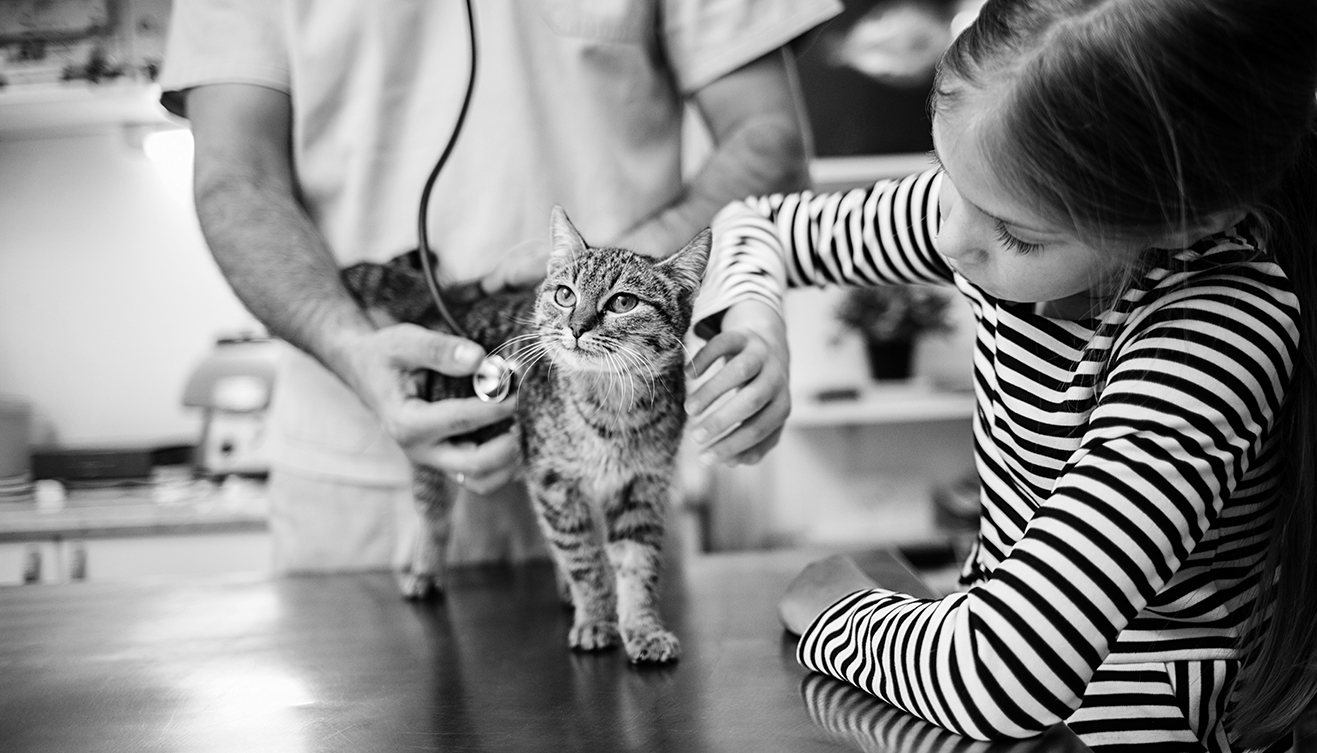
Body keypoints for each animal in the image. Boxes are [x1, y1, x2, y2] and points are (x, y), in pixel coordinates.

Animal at [342, 207, 711, 663]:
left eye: (623, 302)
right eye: (565, 295)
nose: (576, 327)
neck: (611, 408)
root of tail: (451, 298)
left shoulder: (641, 486)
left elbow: (637, 565)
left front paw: (642, 628)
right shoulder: (554, 480)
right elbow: (585, 559)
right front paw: (595, 619)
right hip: (435, 454)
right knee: (435, 516)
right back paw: (425, 571)